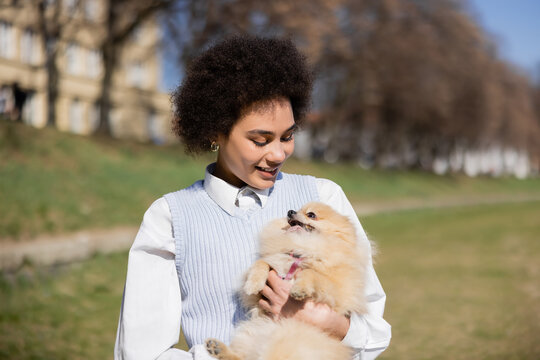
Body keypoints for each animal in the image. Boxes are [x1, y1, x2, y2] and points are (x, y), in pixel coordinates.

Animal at [205, 202, 370, 360]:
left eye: (311, 214)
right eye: (297, 209)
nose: (290, 211)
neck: (298, 251)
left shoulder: (338, 292)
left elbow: (311, 272)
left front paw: (299, 289)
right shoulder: (263, 292)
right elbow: (262, 263)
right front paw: (253, 284)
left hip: (285, 343)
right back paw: (217, 348)